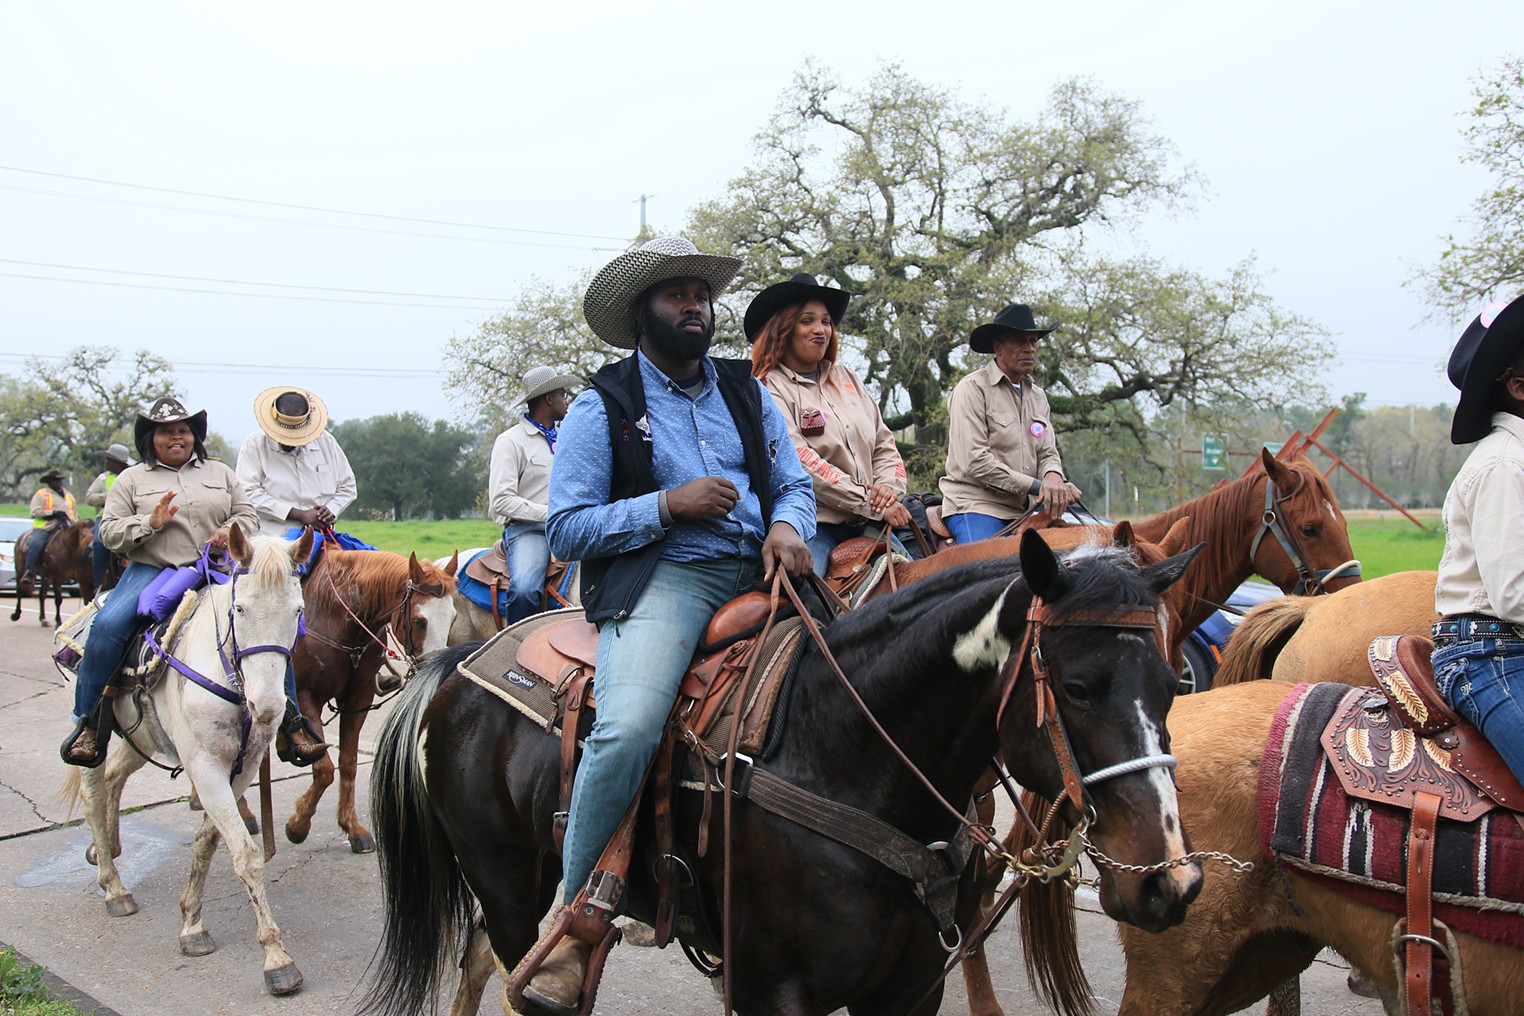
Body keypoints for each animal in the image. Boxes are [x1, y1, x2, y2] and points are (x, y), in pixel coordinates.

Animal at [64, 530, 313, 999]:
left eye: (298, 611)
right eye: (239, 608)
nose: (269, 707)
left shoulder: (241, 769)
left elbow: (208, 843)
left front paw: (192, 923)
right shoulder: (205, 766)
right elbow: (245, 854)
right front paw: (277, 959)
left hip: (139, 734)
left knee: (114, 779)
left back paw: (111, 850)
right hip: (93, 730)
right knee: (93, 792)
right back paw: (113, 886)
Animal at [283, 548, 454, 853]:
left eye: (453, 618)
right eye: (419, 621)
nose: (435, 668)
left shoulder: (358, 698)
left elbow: (348, 763)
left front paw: (352, 828)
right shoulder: (306, 697)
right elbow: (324, 768)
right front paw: (298, 824)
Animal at [362, 536, 1207, 1011]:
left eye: (1175, 684)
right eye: (1078, 688)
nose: (1170, 881)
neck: (846, 753)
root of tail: (460, 663)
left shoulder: (911, 990)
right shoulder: (775, 990)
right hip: (507, 883)